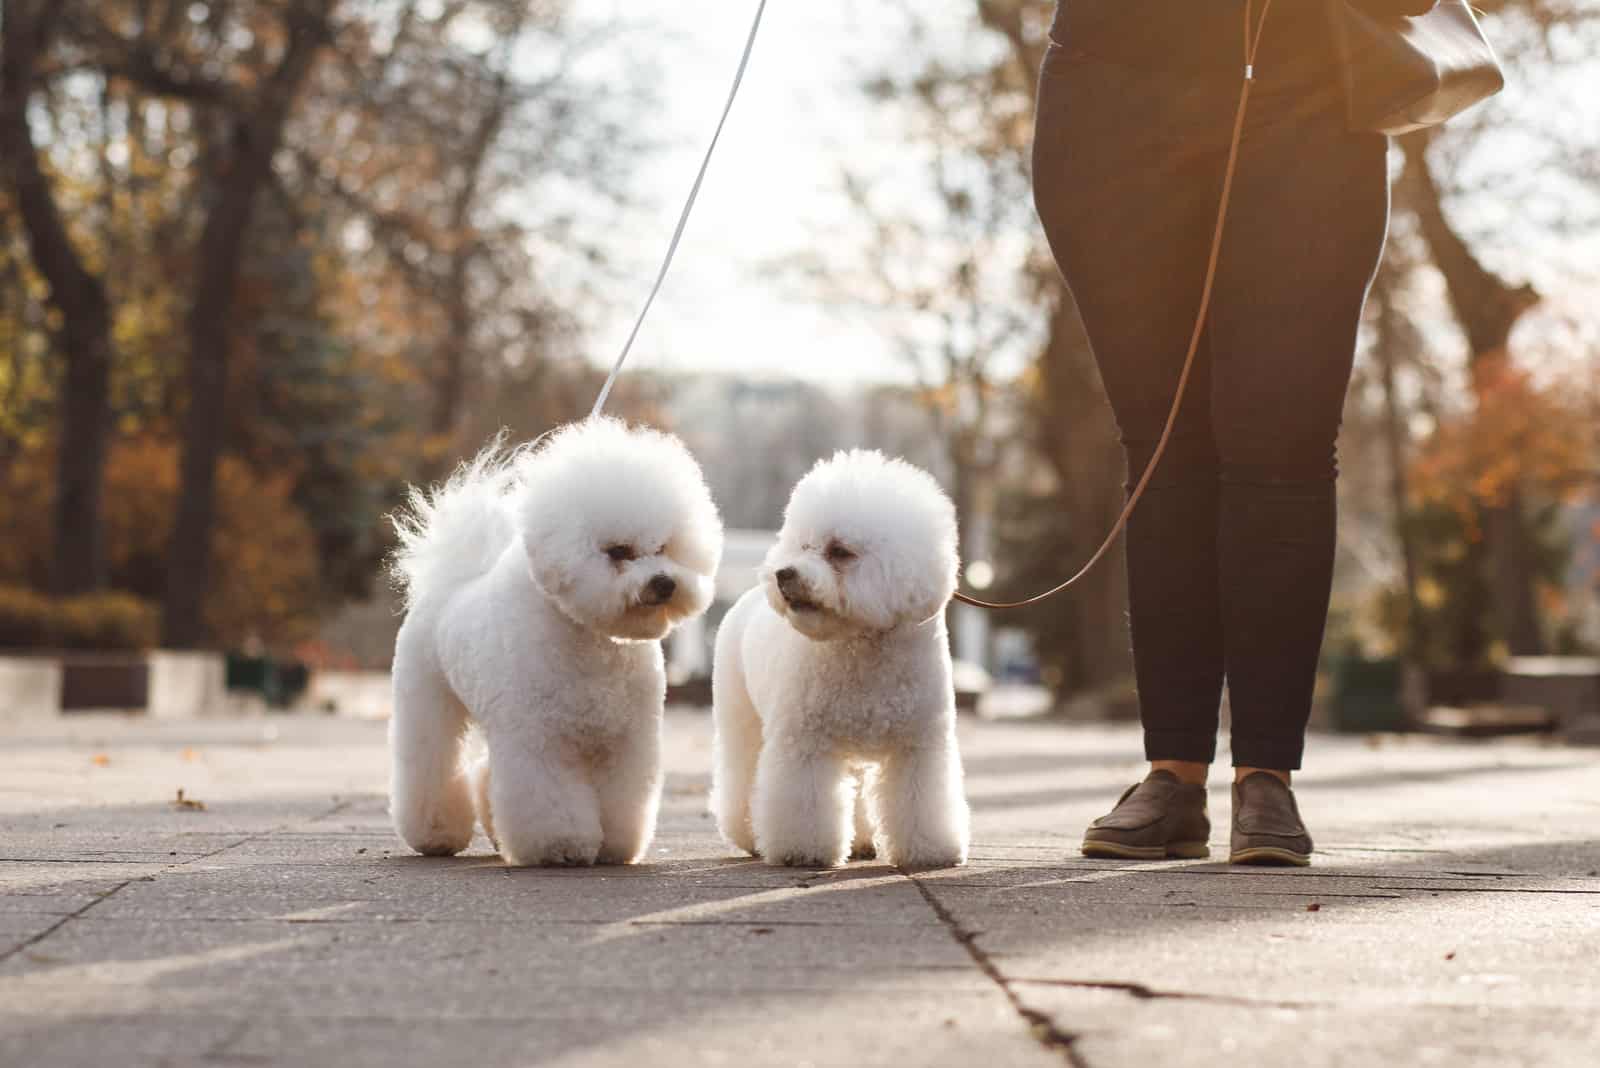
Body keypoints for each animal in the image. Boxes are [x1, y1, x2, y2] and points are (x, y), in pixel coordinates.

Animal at [387, 415, 720, 869]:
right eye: (619, 551)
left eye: (665, 547)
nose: (665, 583)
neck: (591, 641)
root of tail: (450, 580)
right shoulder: (538, 740)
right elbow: (550, 799)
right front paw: (560, 846)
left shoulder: (626, 740)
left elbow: (622, 799)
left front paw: (615, 845)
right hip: (428, 700)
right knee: (430, 762)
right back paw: (436, 834)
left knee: (485, 772)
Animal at [716, 450, 966, 869]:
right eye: (803, 545)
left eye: (839, 551)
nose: (783, 574)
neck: (862, 645)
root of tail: (747, 598)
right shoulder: (805, 742)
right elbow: (806, 801)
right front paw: (804, 852)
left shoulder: (918, 745)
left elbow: (920, 800)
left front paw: (930, 850)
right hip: (742, 719)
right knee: (743, 775)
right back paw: (751, 836)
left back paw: (862, 842)